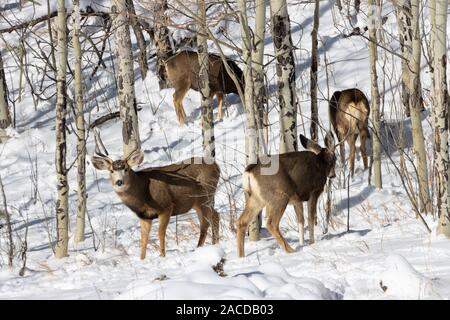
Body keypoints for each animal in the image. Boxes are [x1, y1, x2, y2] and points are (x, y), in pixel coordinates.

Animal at [90, 131, 221, 258]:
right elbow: (143, 240)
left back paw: (200, 247)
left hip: (205, 196)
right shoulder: (145, 216)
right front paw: (142, 260)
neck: (143, 194)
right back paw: (214, 244)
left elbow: (160, 233)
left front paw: (162, 256)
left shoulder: (166, 206)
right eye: (111, 171)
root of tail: (217, 166)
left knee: (206, 223)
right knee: (215, 216)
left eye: (126, 169)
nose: (119, 182)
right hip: (200, 202)